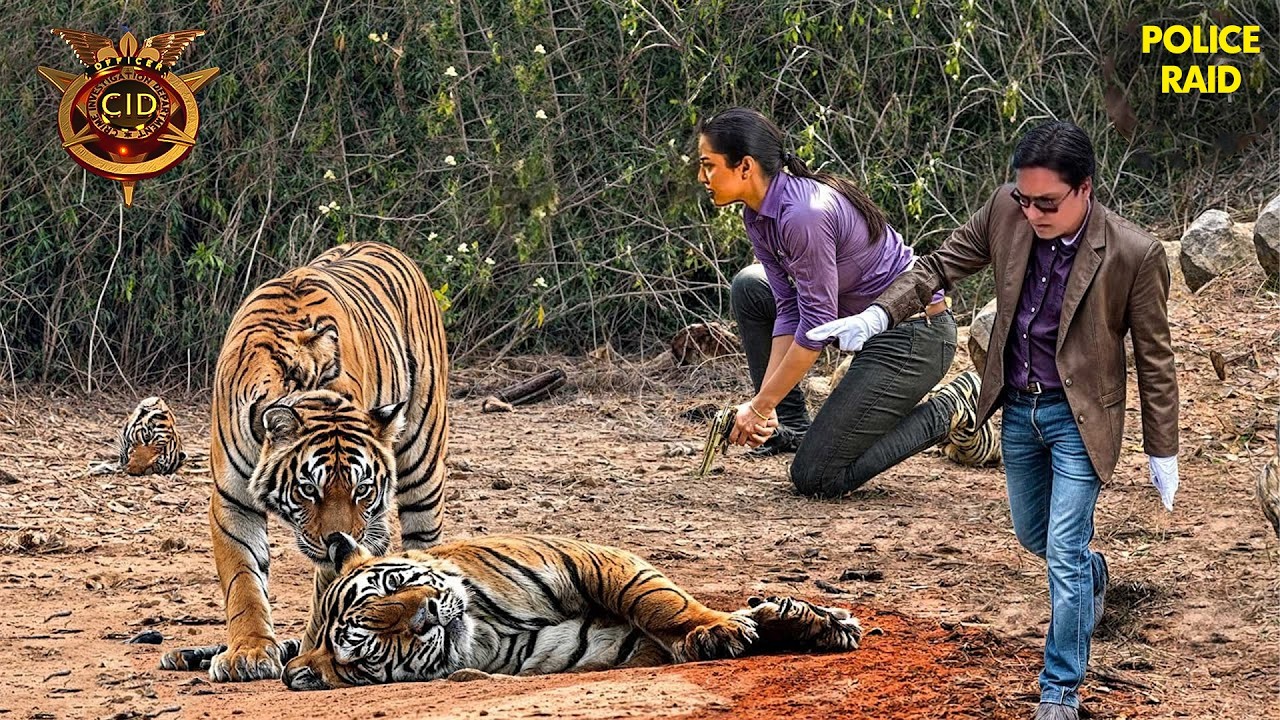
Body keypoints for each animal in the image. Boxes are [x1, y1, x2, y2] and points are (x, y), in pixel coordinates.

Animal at [160, 241, 449, 683]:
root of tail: (383, 245)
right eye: (309, 489)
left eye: (362, 489)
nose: (336, 539)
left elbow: (332, 588)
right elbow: (244, 580)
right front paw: (248, 652)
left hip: (423, 465)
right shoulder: (232, 499)